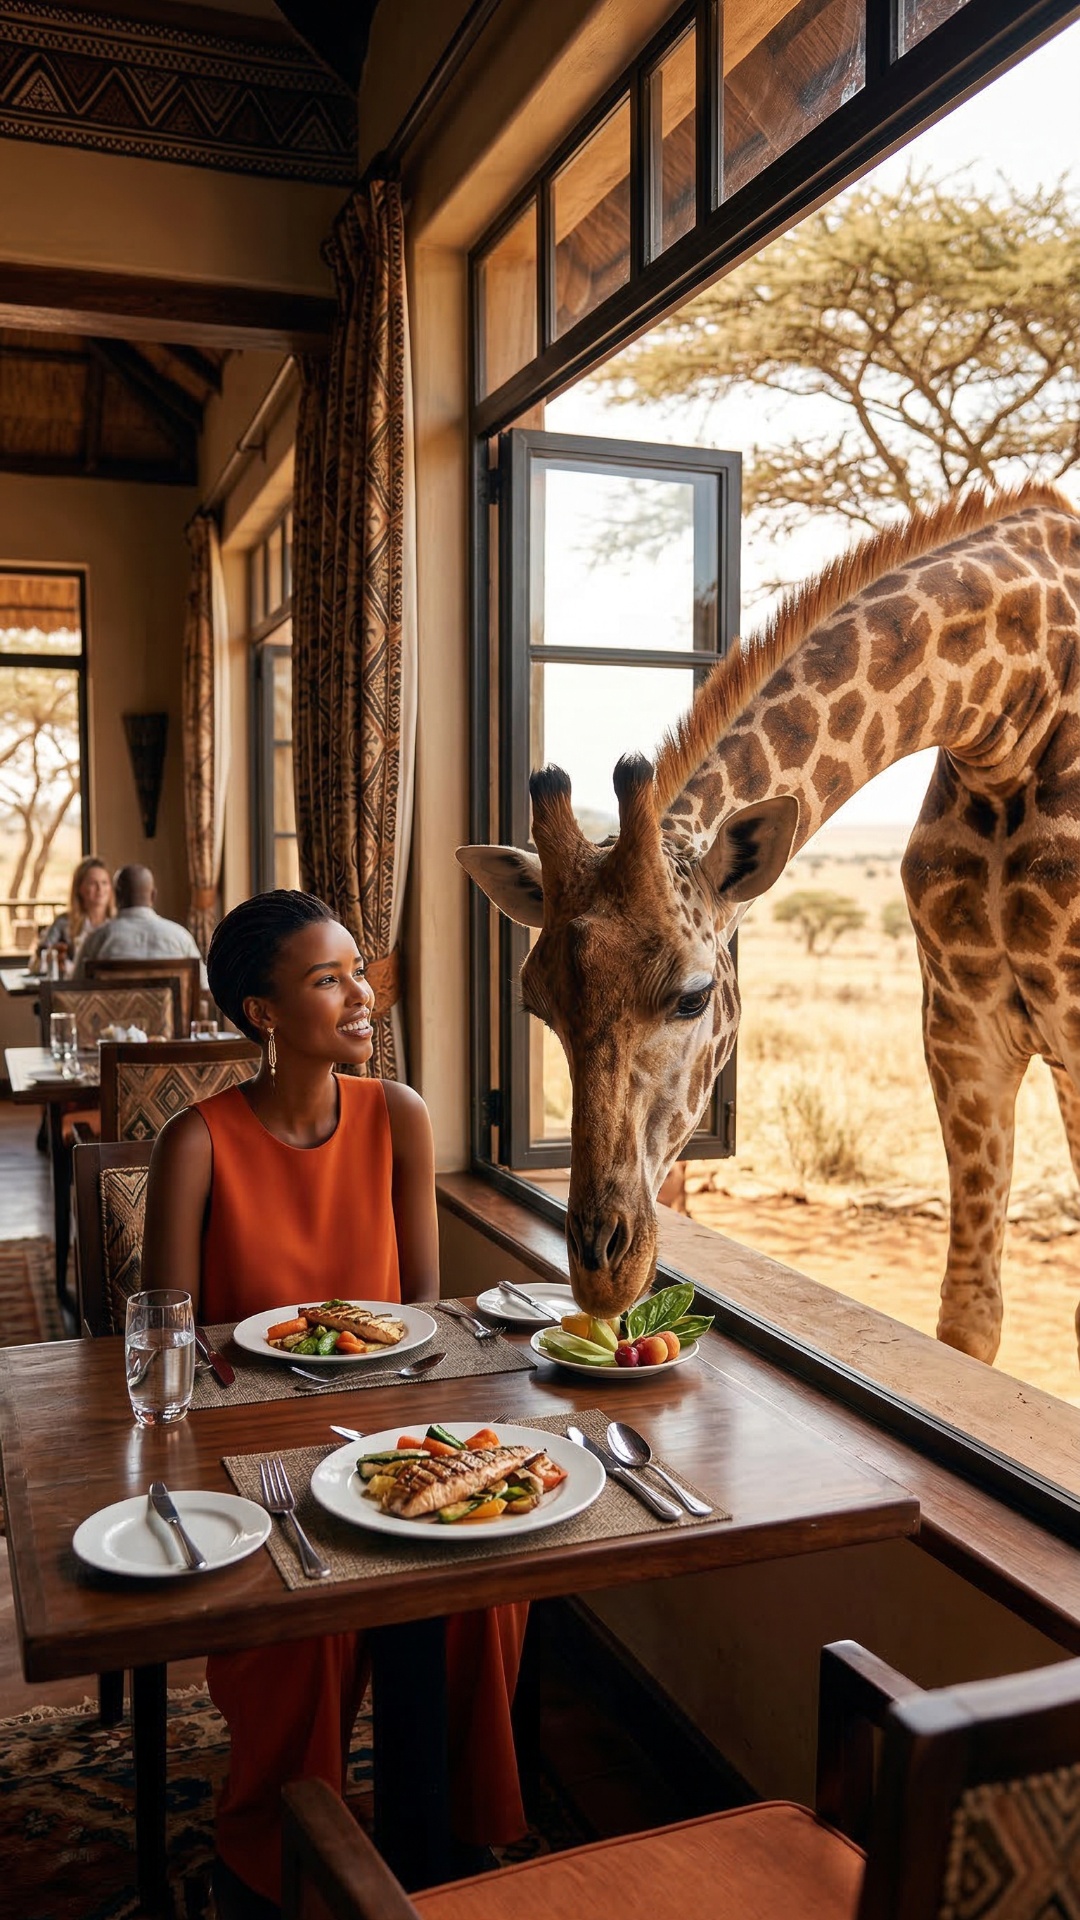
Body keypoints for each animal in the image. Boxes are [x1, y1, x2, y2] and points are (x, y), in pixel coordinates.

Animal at [458, 484, 1080, 1362]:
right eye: (536, 1006)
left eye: (692, 997)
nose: (602, 1273)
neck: (1010, 708)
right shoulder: (964, 1027)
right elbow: (968, 1315)